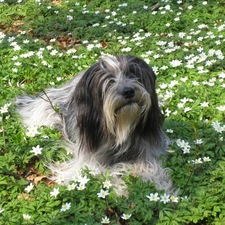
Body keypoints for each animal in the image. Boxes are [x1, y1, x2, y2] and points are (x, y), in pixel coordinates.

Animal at [16, 55, 173, 194]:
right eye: (109, 81)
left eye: (133, 74)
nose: (128, 91)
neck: (120, 126)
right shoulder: (87, 163)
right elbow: (103, 173)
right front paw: (122, 189)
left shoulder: (150, 151)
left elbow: (150, 168)